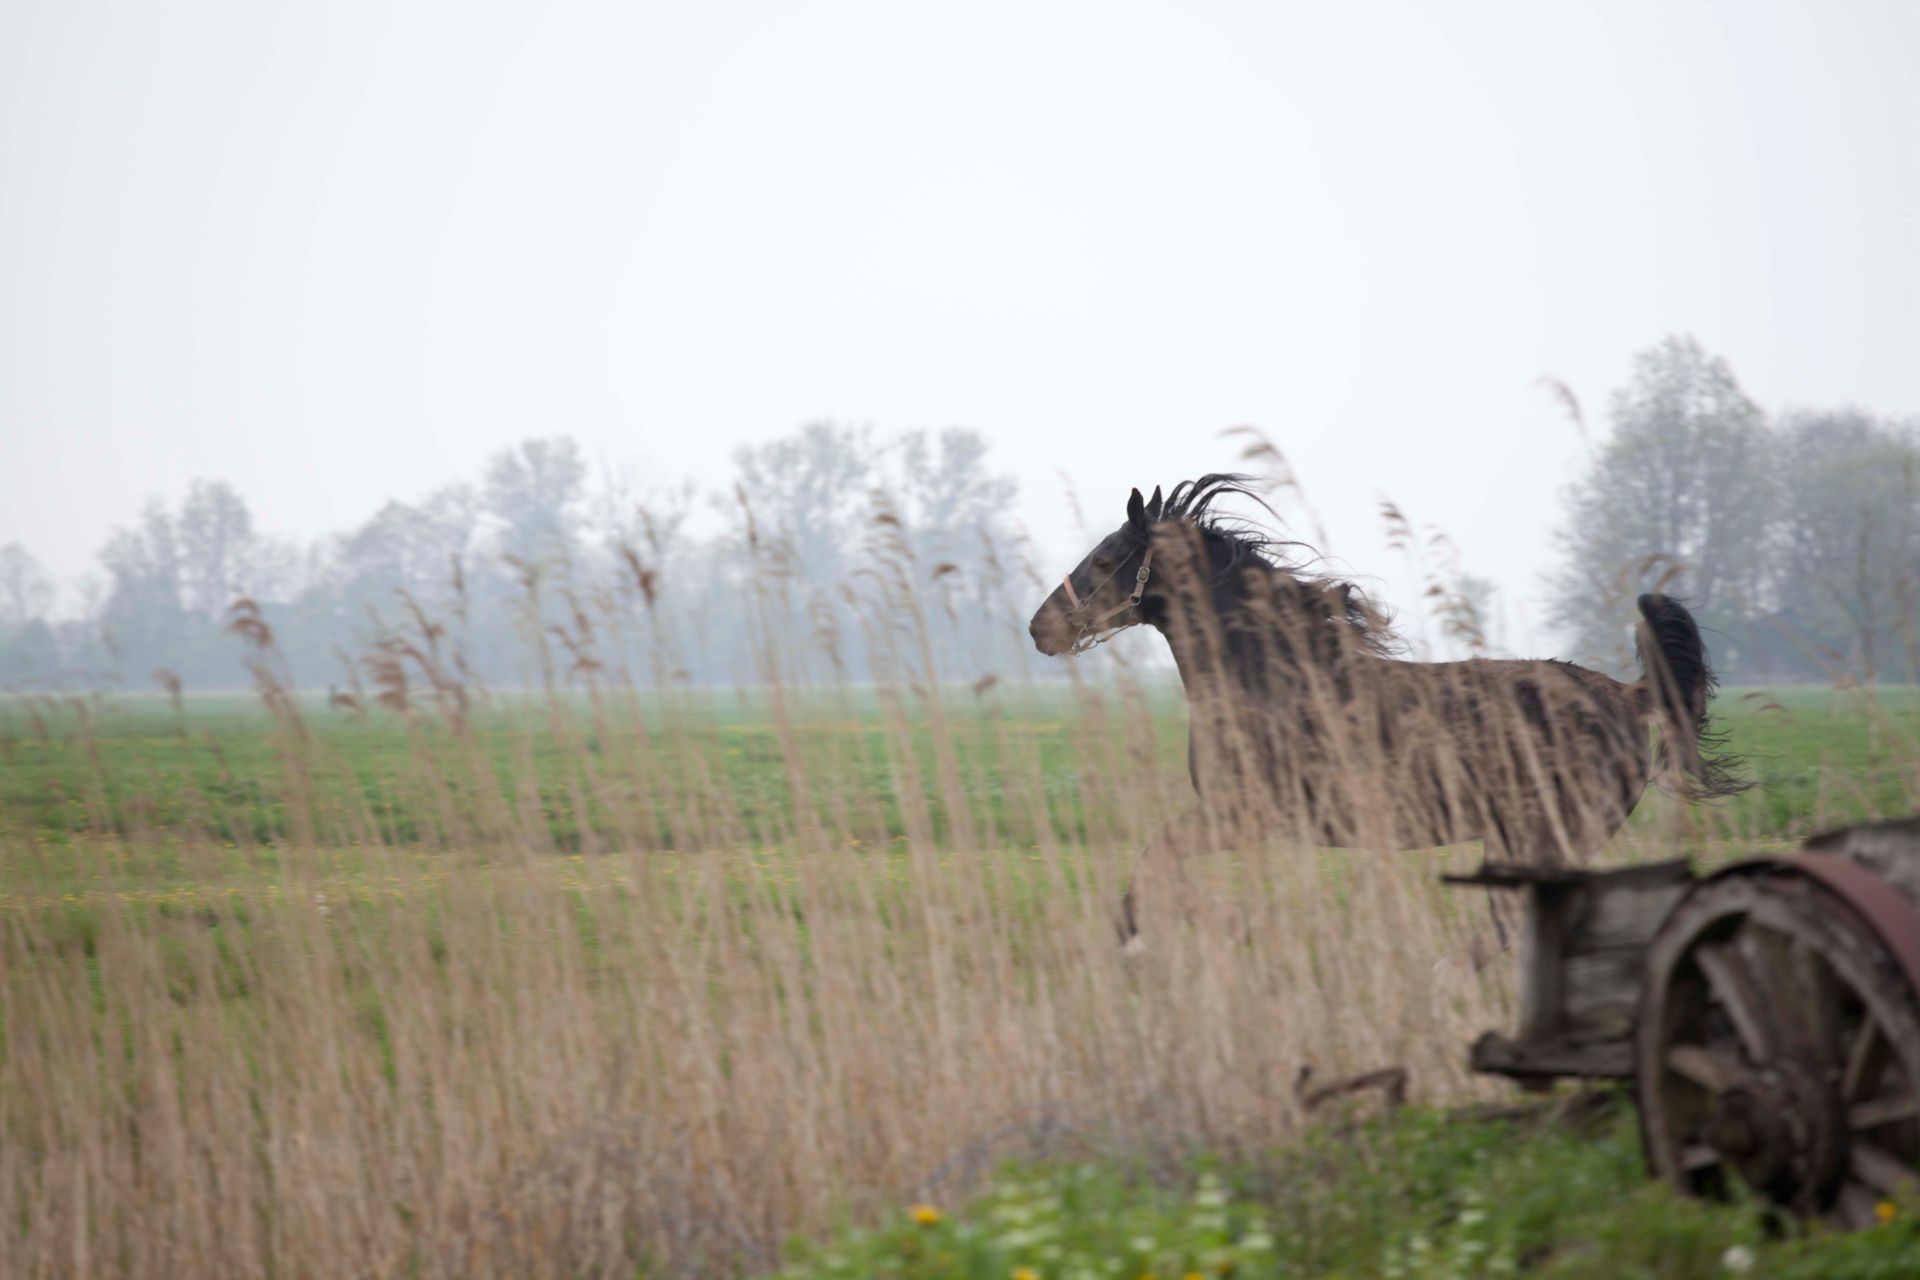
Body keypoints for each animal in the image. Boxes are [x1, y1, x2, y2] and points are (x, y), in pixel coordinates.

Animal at [1027, 474, 1742, 944]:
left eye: (1106, 559)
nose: (1040, 627)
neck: (1266, 680)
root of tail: (1627, 694)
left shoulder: (1240, 815)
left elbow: (1156, 858)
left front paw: (1130, 935)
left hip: (1544, 836)